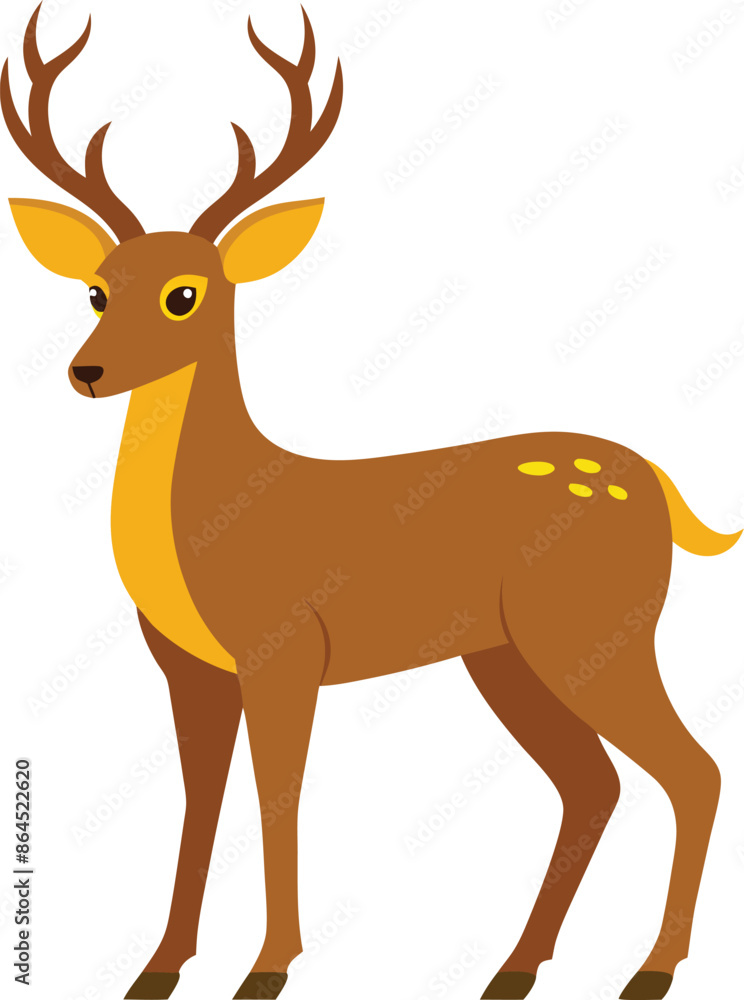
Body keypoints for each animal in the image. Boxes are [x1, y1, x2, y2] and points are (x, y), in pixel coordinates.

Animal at [2, 5, 740, 1000]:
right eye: (94, 290)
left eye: (184, 293)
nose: (87, 372)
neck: (213, 522)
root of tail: (661, 485)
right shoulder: (188, 669)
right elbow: (199, 802)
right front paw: (156, 969)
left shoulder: (284, 649)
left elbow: (278, 797)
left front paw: (268, 968)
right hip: (508, 656)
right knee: (594, 783)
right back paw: (514, 969)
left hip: (597, 629)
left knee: (692, 771)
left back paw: (651, 970)